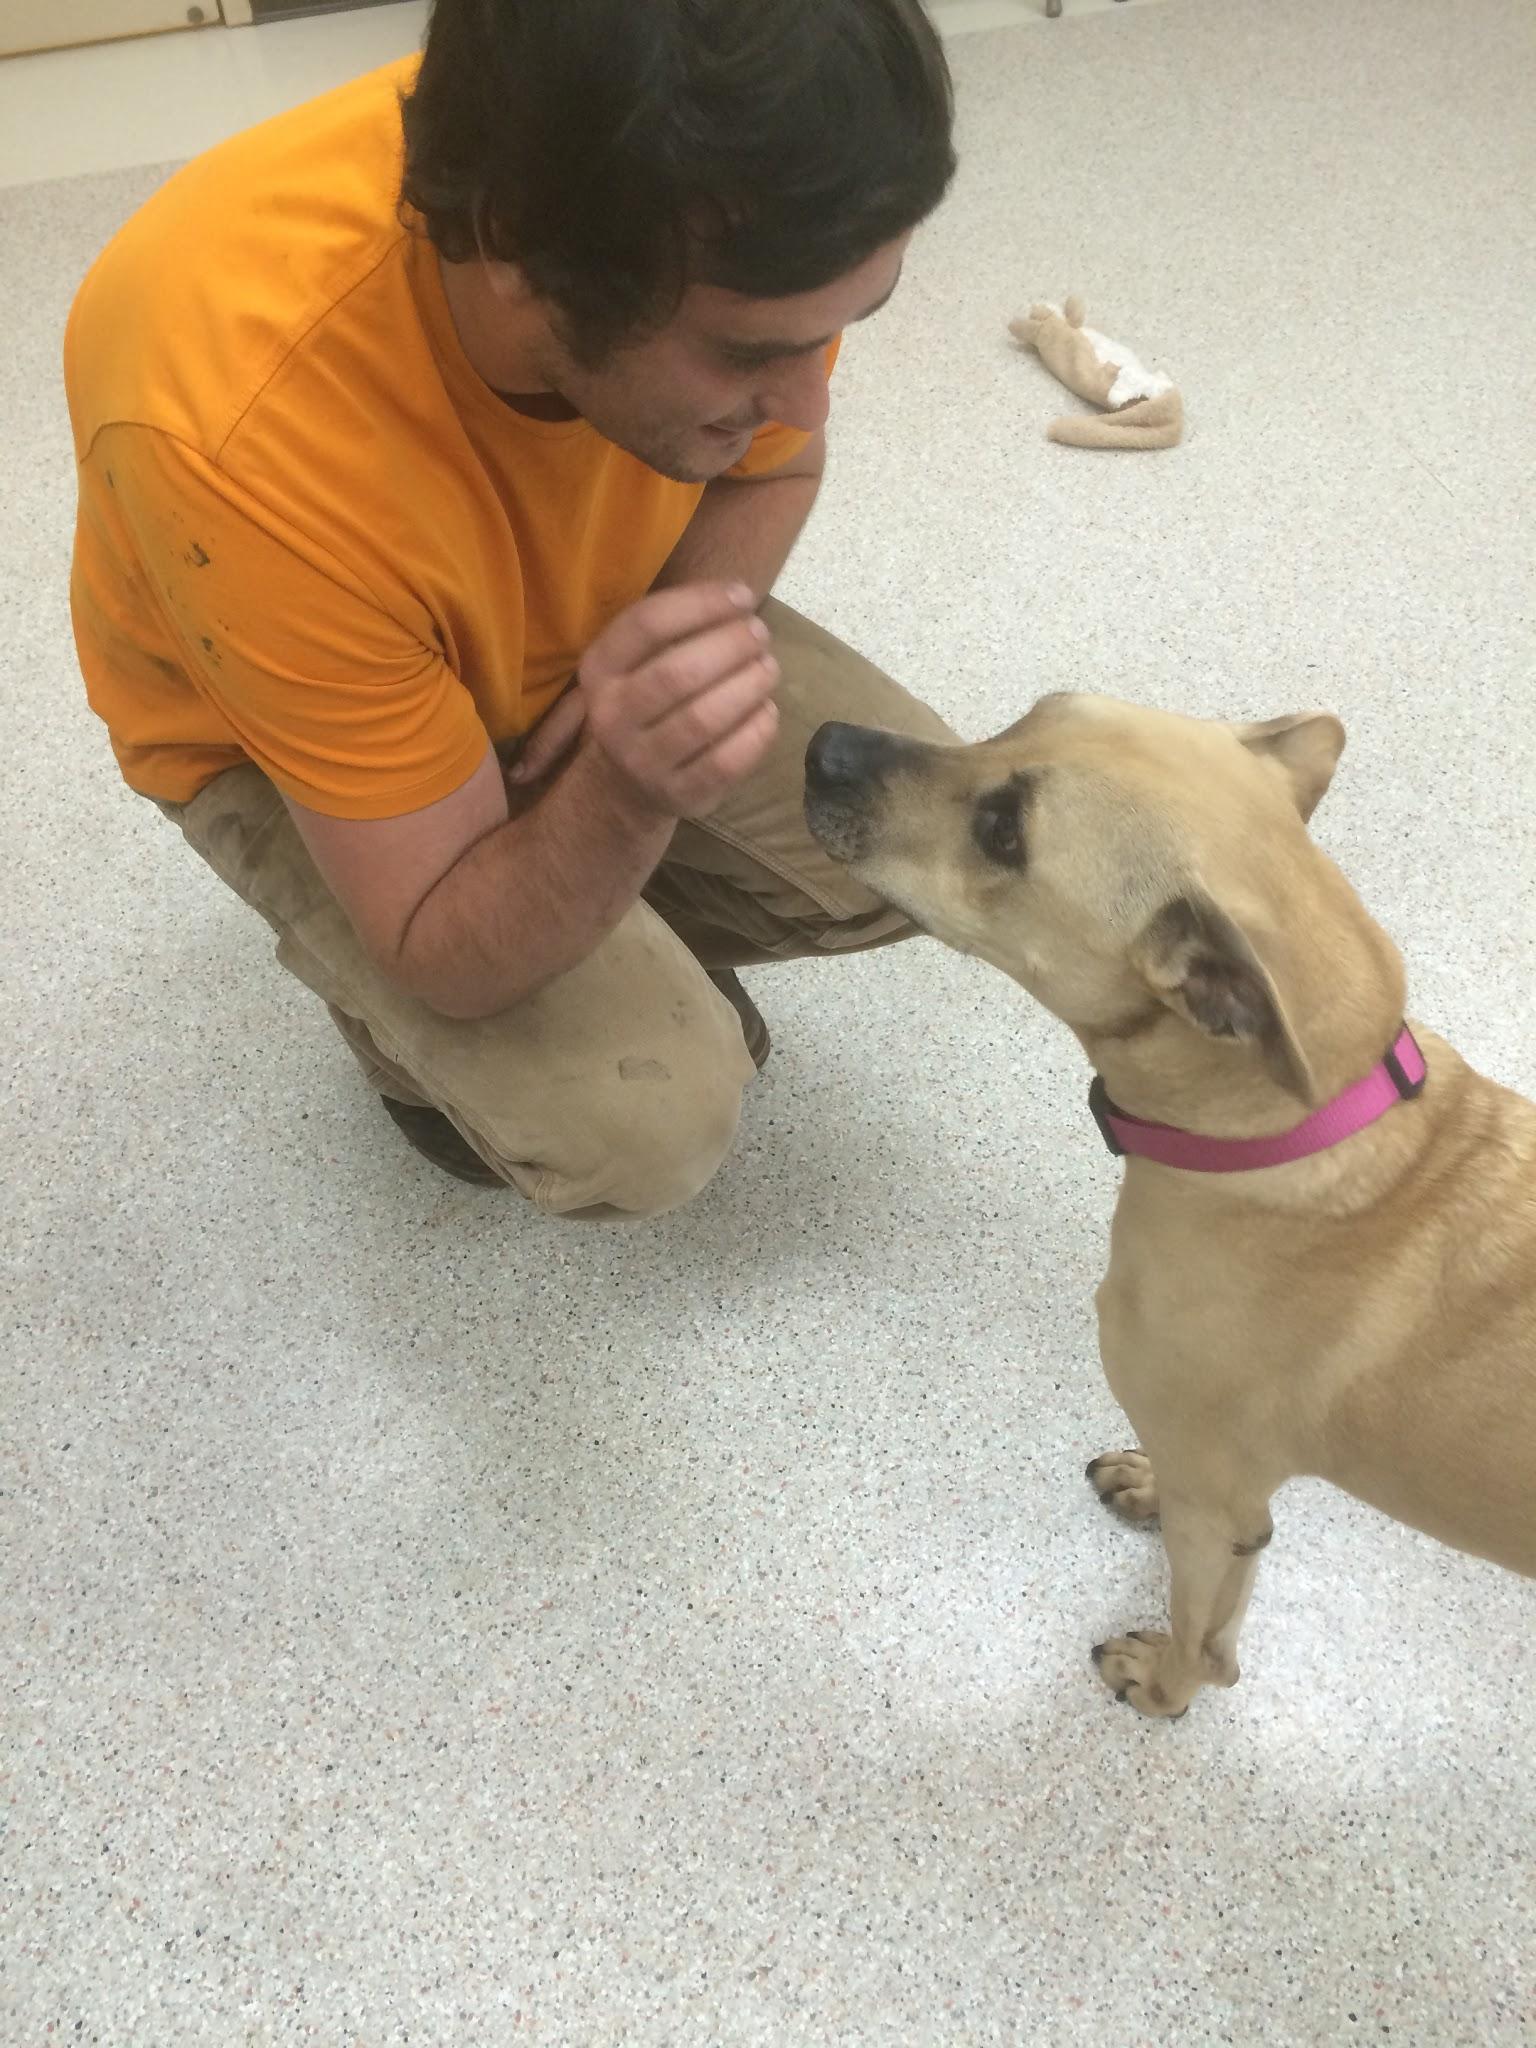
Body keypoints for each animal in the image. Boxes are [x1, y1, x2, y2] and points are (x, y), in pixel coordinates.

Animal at [804, 695, 1535, 1717]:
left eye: (1004, 832)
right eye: (1035, 709)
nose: (820, 741)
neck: (1286, 1137)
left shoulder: (1222, 1517)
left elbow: (1204, 1635)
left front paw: (1164, 1687)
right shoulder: (1216, 1487)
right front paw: (1143, 1484)